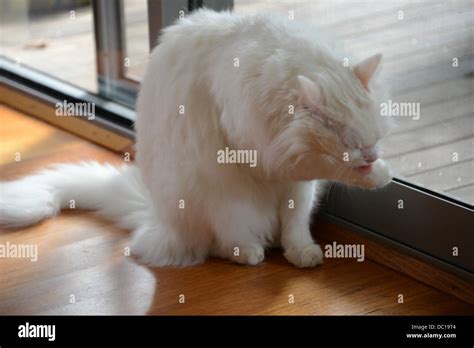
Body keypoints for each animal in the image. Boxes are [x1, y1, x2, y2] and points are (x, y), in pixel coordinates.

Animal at [0, 10, 392, 266]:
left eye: (376, 137)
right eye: (351, 144)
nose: (372, 155)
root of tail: (158, 221)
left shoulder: (299, 186)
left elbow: (296, 225)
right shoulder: (263, 153)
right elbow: (329, 169)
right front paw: (374, 175)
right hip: (223, 205)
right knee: (220, 244)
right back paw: (249, 253)